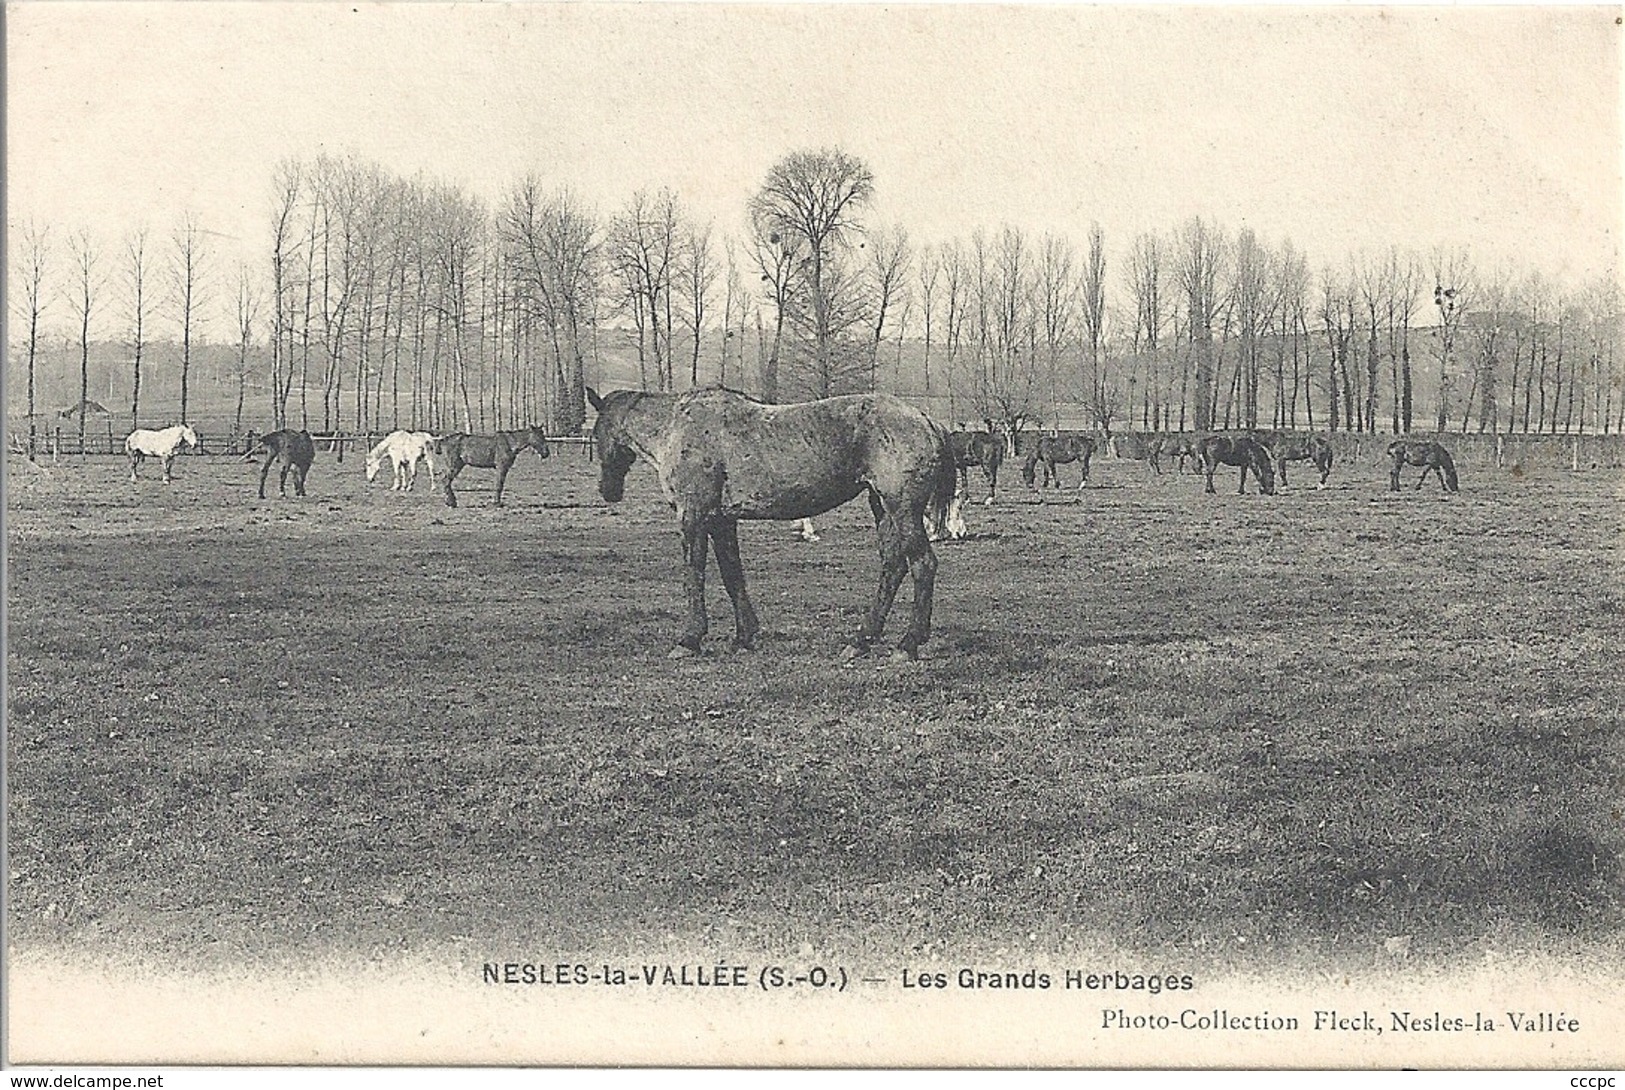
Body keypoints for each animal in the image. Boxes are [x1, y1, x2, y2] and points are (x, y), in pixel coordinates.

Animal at [591, 388, 955, 659]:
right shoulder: (722, 521)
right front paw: (744, 636)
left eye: (596, 434)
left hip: (902, 508)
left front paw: (689, 640)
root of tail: (927, 421)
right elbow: (732, 575)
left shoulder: (693, 517)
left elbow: (694, 574)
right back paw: (861, 640)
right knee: (893, 566)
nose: (608, 490)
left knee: (922, 564)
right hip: (882, 507)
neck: (676, 428)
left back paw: (908, 643)